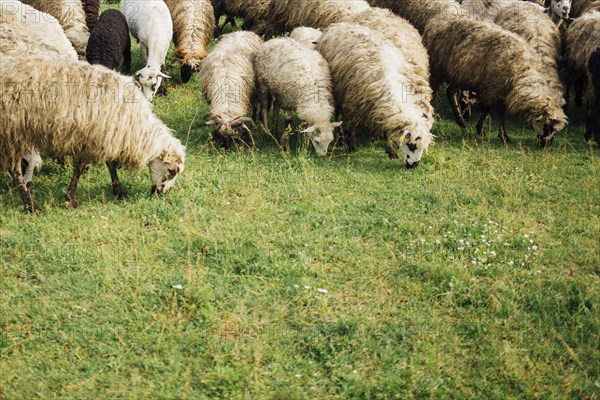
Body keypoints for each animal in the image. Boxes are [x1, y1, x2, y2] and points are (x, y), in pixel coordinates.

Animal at [0, 57, 186, 212]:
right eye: (171, 171)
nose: (162, 194)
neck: (135, 126)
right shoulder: (90, 138)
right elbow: (80, 169)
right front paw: (71, 198)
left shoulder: (108, 136)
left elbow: (110, 165)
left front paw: (119, 190)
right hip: (12, 133)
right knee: (15, 171)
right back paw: (31, 205)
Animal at [316, 23, 434, 167]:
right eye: (412, 145)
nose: (413, 166)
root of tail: (338, 24)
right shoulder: (353, 104)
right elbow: (350, 125)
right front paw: (350, 146)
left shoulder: (385, 110)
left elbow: (389, 128)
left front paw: (391, 151)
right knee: (339, 114)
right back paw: (340, 138)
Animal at [422, 16, 568, 147]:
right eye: (547, 126)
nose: (546, 145)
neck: (523, 72)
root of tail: (436, 21)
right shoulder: (496, 87)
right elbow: (499, 112)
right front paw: (504, 137)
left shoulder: (496, 89)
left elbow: (488, 108)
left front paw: (480, 128)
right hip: (438, 68)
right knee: (434, 90)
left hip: (459, 72)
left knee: (450, 91)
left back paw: (460, 121)